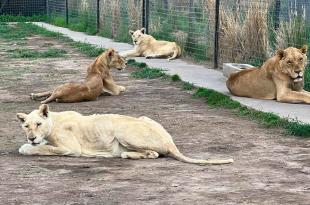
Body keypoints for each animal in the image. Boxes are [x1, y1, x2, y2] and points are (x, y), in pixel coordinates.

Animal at [16, 105, 232, 166]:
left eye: (38, 124)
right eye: (26, 126)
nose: (31, 137)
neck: (53, 121)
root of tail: (170, 142)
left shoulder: (71, 148)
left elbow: (43, 148)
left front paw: (27, 146)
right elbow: (42, 145)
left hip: (121, 129)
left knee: (154, 154)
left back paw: (125, 154)